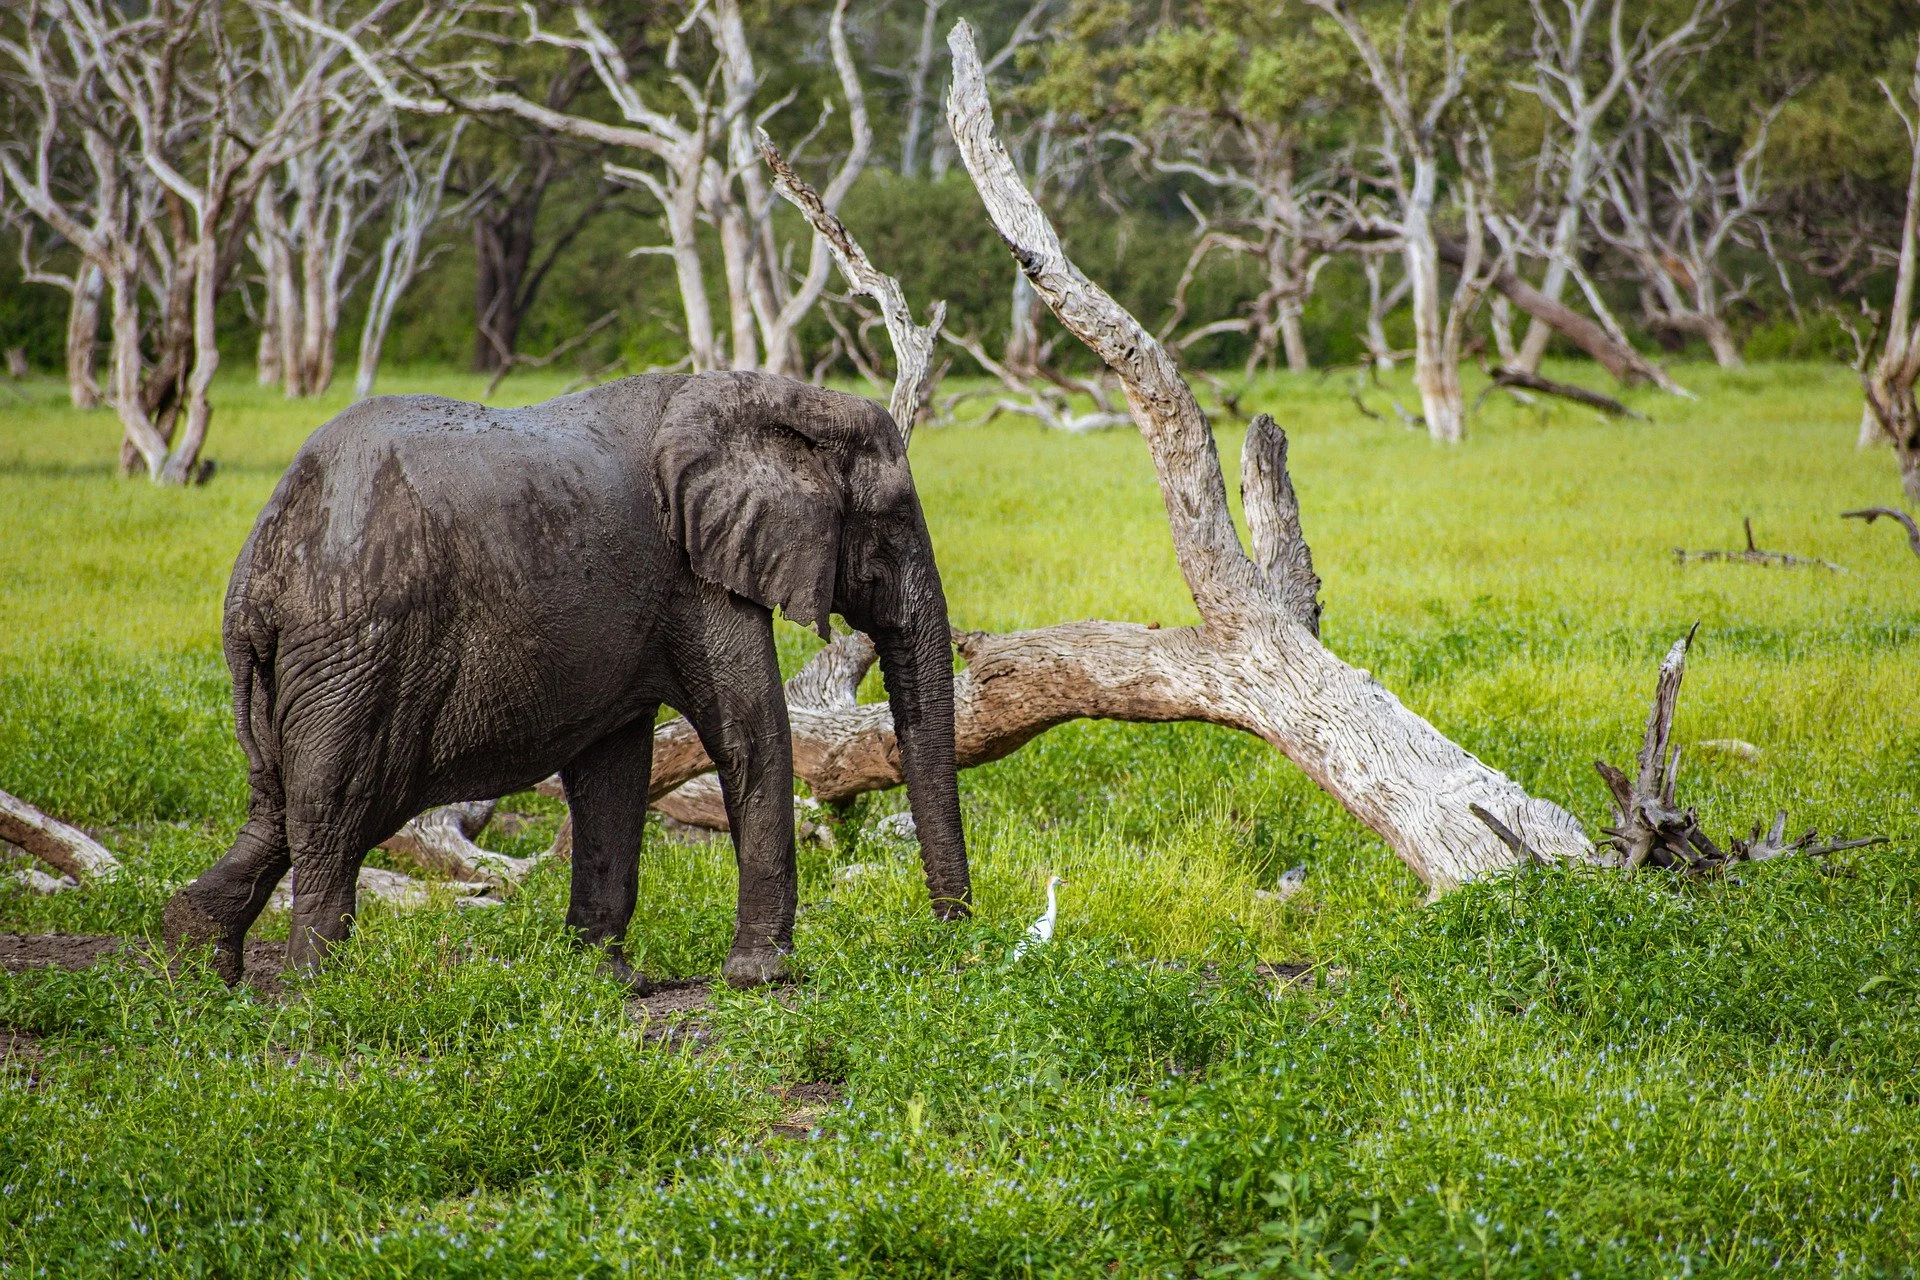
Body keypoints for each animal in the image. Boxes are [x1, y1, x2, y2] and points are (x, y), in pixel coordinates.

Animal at [161, 370, 975, 990]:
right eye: (891, 522)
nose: (950, 937)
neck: (778, 397)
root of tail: (261, 573)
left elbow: (614, 769)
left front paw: (609, 981)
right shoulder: (695, 573)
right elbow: (749, 732)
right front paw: (762, 978)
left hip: (304, 670)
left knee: (282, 805)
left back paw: (194, 965)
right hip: (358, 650)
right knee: (337, 807)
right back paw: (318, 993)